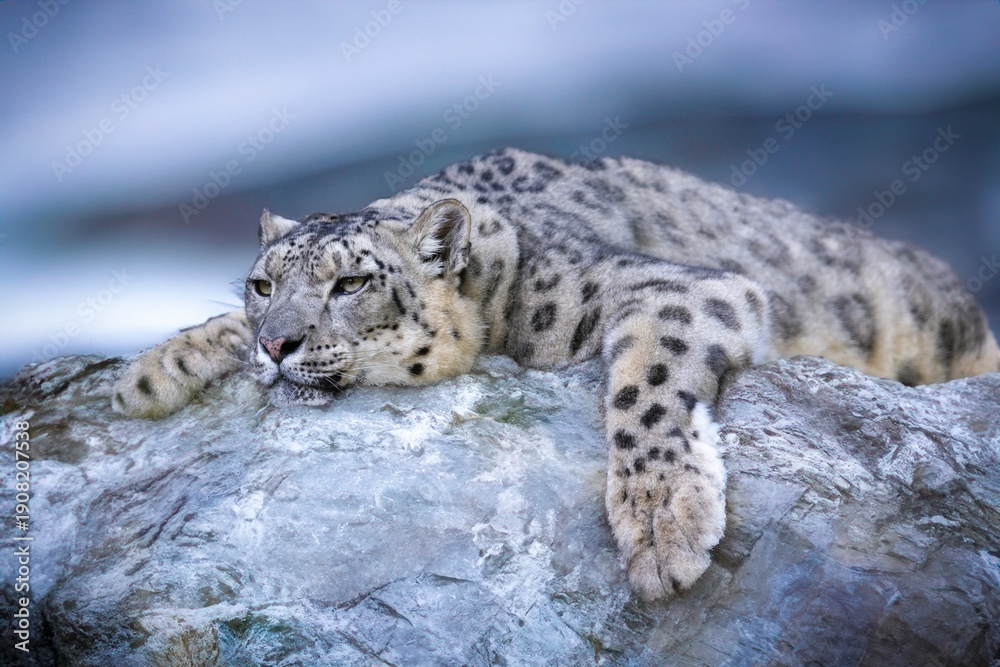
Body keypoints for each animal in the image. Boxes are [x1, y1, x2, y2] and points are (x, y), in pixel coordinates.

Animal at [111, 147, 1000, 601]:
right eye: (263, 284)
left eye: (352, 282)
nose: (278, 344)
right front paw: (152, 371)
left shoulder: (672, 287)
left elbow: (645, 390)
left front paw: (663, 528)